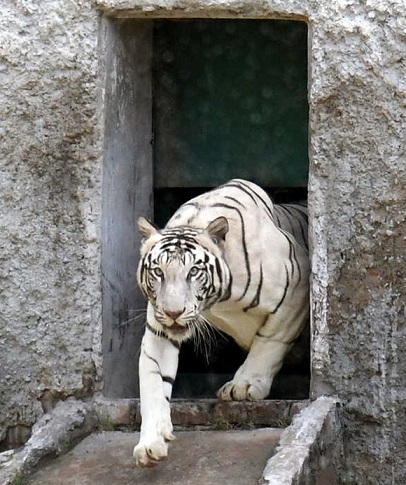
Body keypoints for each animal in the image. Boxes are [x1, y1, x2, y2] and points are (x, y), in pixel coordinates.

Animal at [132, 178, 308, 466]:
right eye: (158, 272)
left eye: (193, 271)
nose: (173, 312)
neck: (218, 302)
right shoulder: (159, 328)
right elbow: (154, 381)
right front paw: (150, 443)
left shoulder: (296, 291)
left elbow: (268, 343)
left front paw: (243, 386)